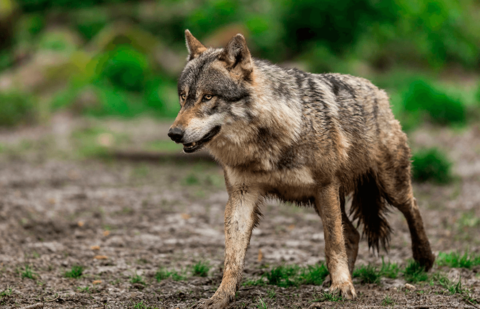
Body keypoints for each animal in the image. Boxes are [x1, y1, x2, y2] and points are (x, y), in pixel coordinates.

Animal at [168, 30, 436, 306]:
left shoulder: (325, 186)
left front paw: (343, 286)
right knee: (353, 234)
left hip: (388, 187)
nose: (174, 133)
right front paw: (221, 296)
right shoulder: (241, 196)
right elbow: (232, 257)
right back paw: (334, 278)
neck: (267, 141)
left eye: (208, 97)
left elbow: (333, 244)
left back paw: (423, 259)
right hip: (320, 201)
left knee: (412, 207)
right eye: (183, 96)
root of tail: (379, 92)